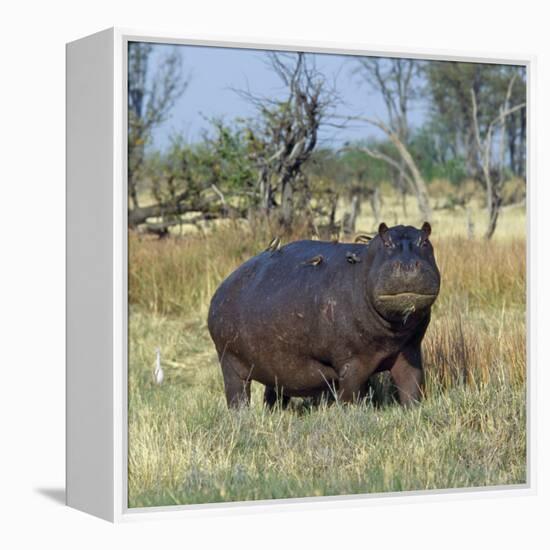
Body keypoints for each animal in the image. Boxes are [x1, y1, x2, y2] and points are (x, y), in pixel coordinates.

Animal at [209, 223, 442, 410]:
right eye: (386, 242)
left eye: (425, 241)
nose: (408, 265)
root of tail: (222, 287)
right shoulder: (352, 362)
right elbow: (350, 394)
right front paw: (352, 415)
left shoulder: (409, 350)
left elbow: (412, 385)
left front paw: (414, 410)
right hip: (230, 363)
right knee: (237, 395)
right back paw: (241, 416)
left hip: (272, 367)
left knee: (273, 393)